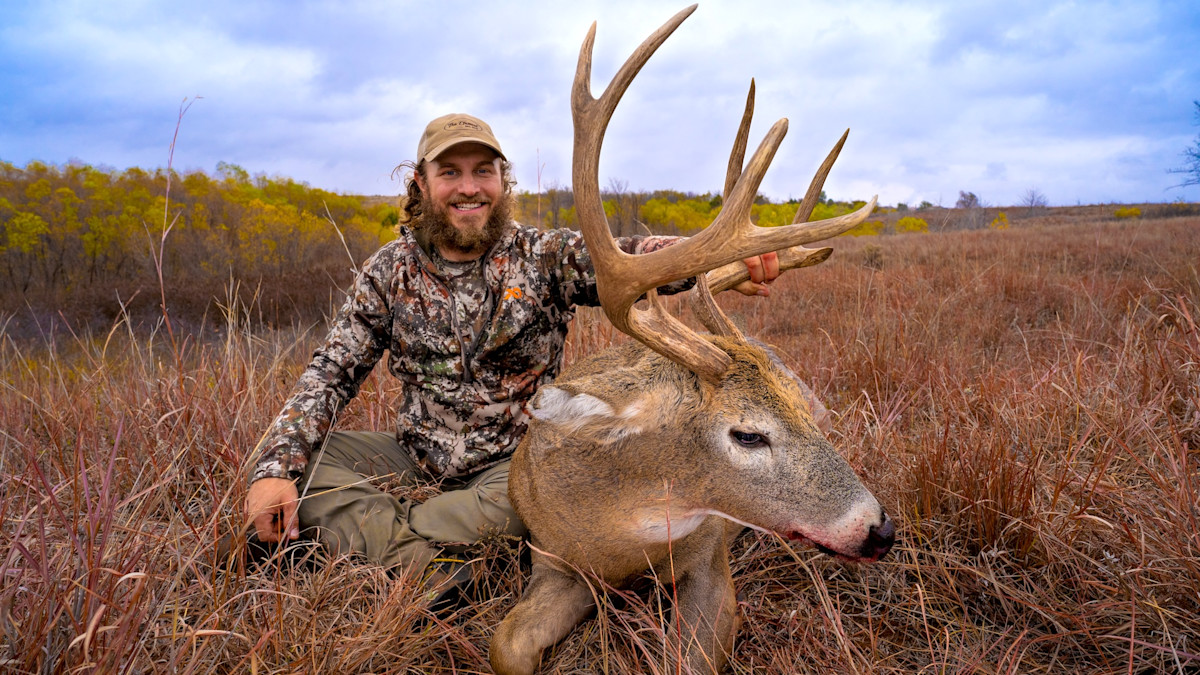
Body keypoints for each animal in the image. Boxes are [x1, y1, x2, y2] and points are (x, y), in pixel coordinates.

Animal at [489, 5, 894, 674]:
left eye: (800, 413)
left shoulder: (709, 560)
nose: (880, 529)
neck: (619, 535)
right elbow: (505, 643)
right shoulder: (551, 559)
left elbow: (692, 657)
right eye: (748, 434)